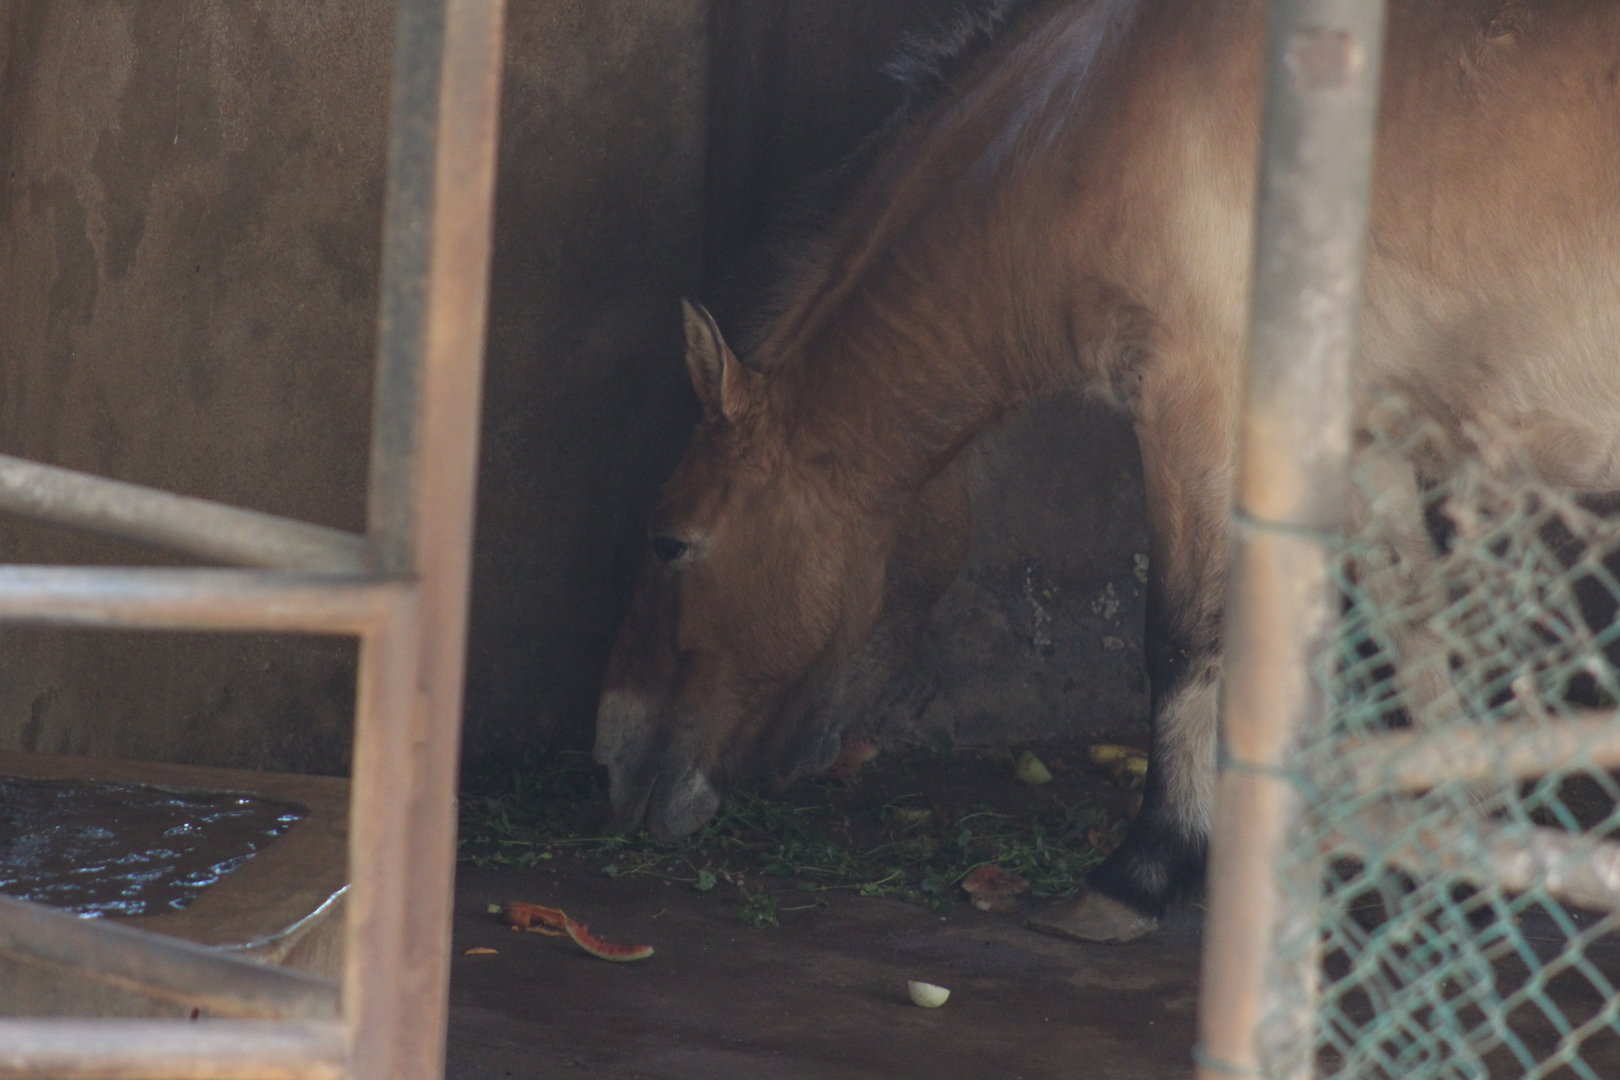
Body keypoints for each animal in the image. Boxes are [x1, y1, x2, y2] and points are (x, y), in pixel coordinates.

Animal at [595, 0, 1620, 943]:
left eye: (670, 542)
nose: (611, 757)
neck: (1097, 118)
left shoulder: (1194, 411)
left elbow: (1180, 641)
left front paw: (1143, 872)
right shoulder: (1362, 437)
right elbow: (1419, 628)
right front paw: (1473, 854)